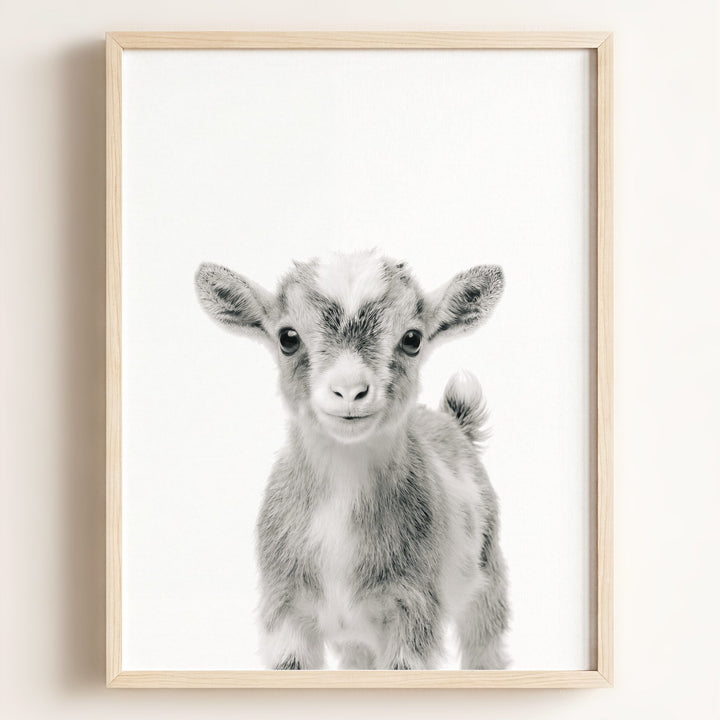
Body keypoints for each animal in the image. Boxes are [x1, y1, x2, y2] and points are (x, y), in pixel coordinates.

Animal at [195, 250, 509, 670]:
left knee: (485, 645)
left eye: (412, 339)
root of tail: (453, 422)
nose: (349, 391)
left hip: (488, 579)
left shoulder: (413, 610)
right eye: (287, 338)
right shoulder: (285, 611)